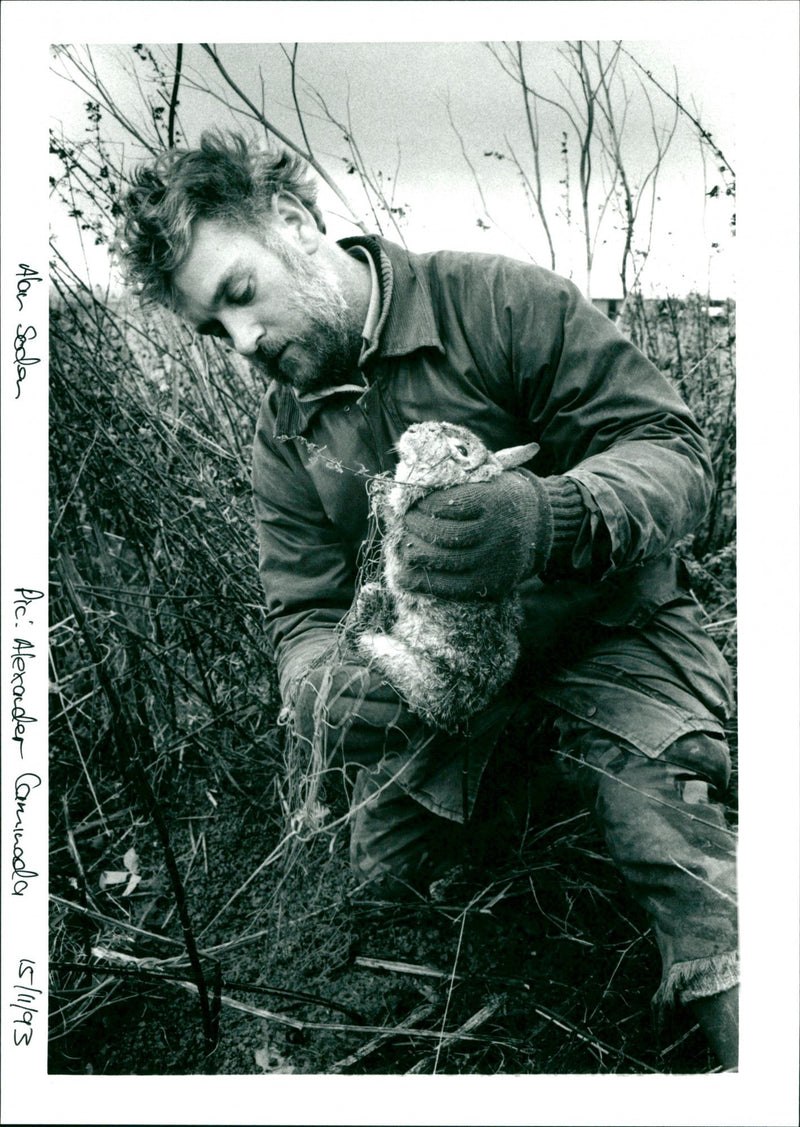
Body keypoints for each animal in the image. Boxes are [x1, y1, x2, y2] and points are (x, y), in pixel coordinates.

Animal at [346, 421, 540, 732]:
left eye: (461, 451)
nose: (415, 430)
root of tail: (455, 711)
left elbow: (392, 512)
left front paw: (379, 490)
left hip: (405, 662)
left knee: (363, 639)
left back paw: (369, 602)